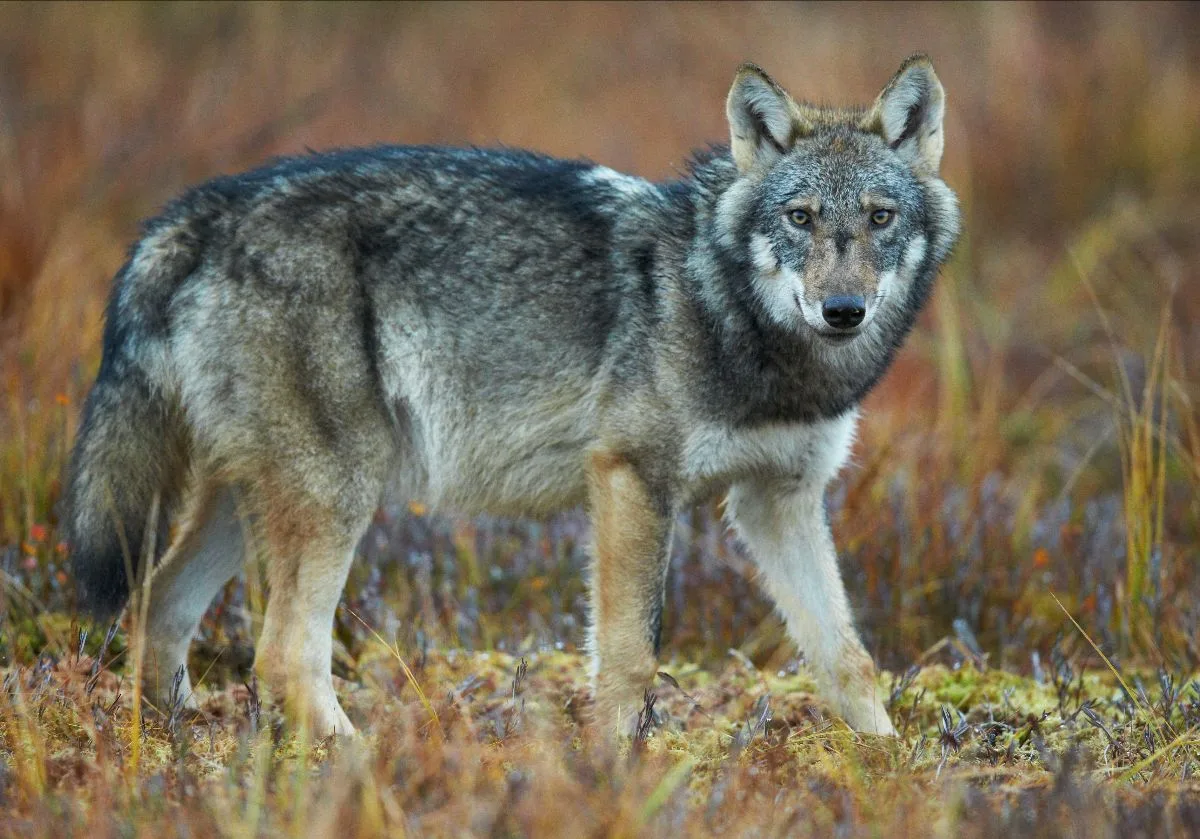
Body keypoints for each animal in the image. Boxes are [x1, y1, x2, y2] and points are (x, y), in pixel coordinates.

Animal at [64, 55, 959, 738]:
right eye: (801, 217)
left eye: (880, 217)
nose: (842, 309)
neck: (730, 311)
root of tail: (194, 213)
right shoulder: (633, 479)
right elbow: (631, 654)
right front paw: (615, 766)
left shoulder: (779, 500)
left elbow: (848, 656)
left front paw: (889, 764)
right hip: (336, 493)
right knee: (282, 652)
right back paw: (358, 760)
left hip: (247, 503)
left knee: (159, 609)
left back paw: (178, 747)